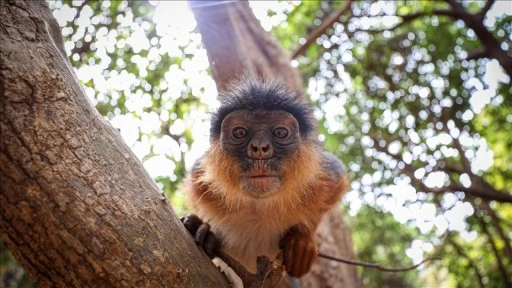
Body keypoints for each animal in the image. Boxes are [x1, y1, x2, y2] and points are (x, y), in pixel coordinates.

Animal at [181, 77, 348, 278]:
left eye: (280, 133)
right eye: (239, 133)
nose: (260, 148)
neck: (259, 207)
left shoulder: (323, 176)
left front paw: (302, 239)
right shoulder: (201, 178)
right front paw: (205, 229)